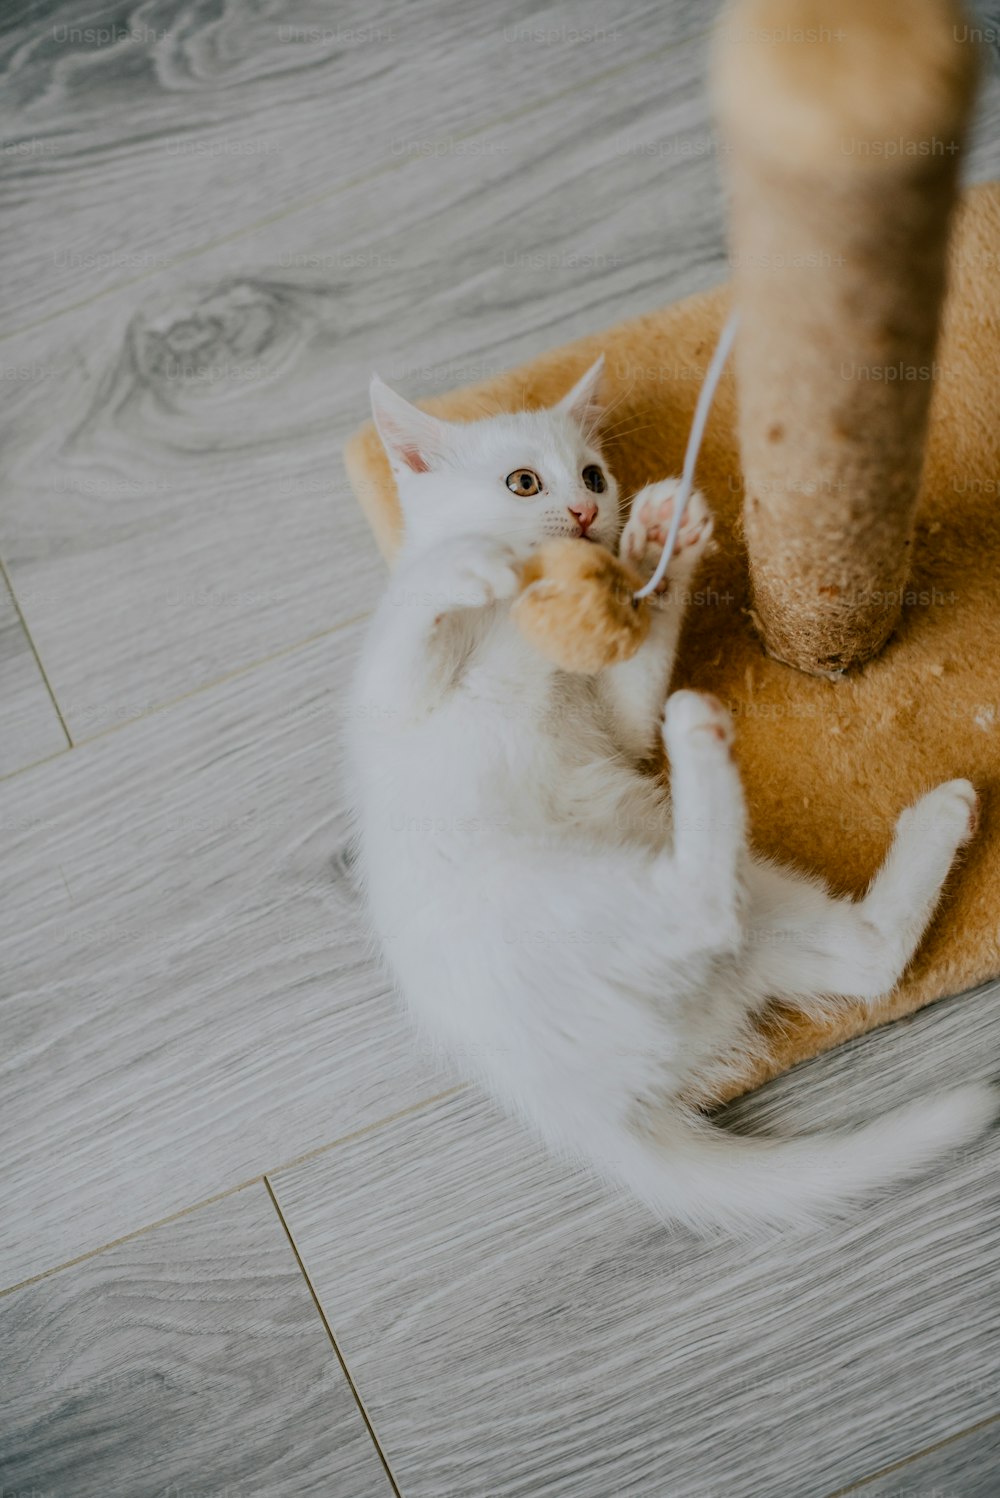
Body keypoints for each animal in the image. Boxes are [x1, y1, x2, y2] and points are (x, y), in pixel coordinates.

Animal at [347, 362, 994, 1228]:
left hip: (736, 913)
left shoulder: (611, 725)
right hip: (576, 898)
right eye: (524, 482)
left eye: (594, 475)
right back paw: (697, 739)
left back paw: (936, 817)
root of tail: (585, 1109)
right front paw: (465, 560)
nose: (588, 512)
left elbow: (632, 702)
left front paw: (659, 544)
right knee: (708, 908)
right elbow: (410, 633)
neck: (517, 625)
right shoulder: (391, 701)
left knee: (854, 954)